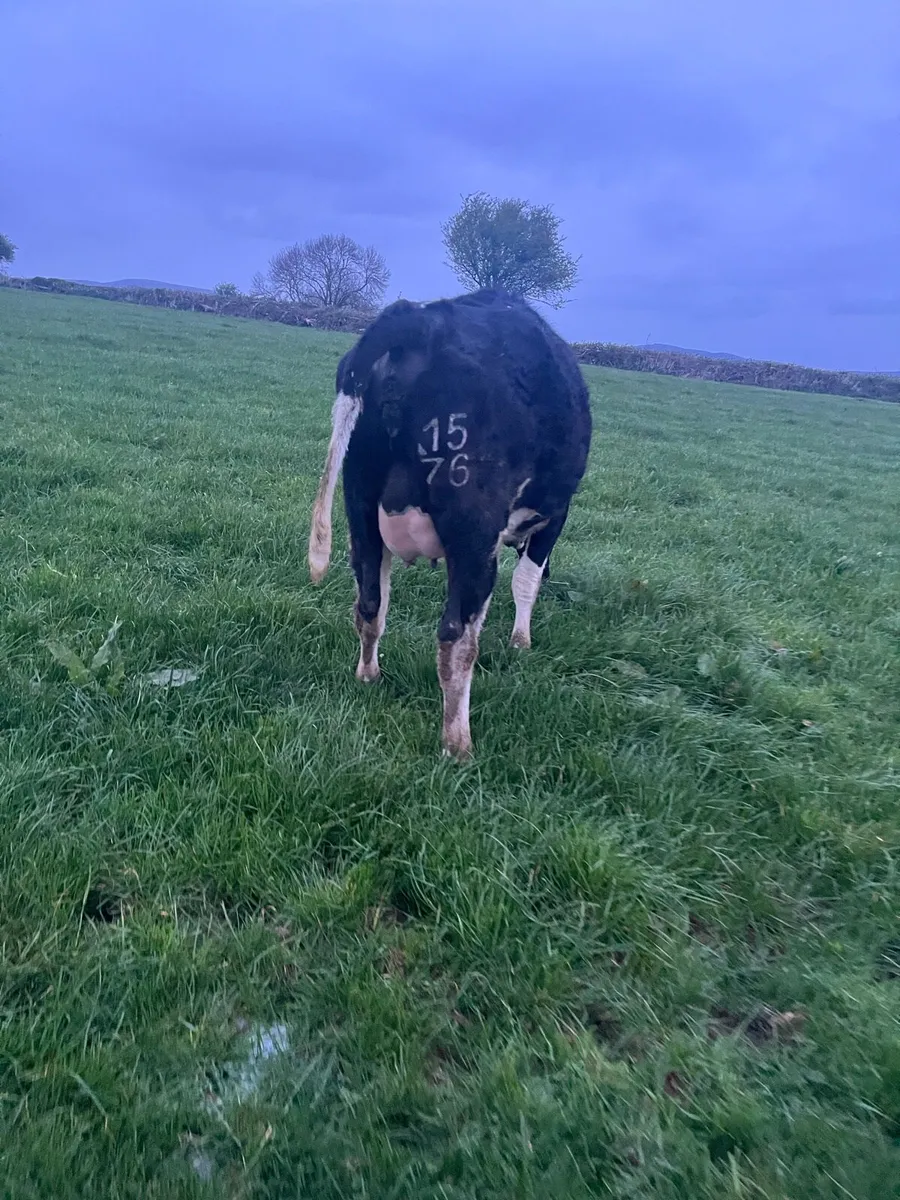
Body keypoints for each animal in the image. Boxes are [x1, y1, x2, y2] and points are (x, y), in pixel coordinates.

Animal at [307, 288, 592, 760]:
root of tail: (416, 320)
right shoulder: (552, 516)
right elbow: (525, 582)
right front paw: (521, 642)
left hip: (360, 509)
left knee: (370, 605)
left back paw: (369, 676)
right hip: (471, 531)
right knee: (456, 640)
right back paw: (458, 743)